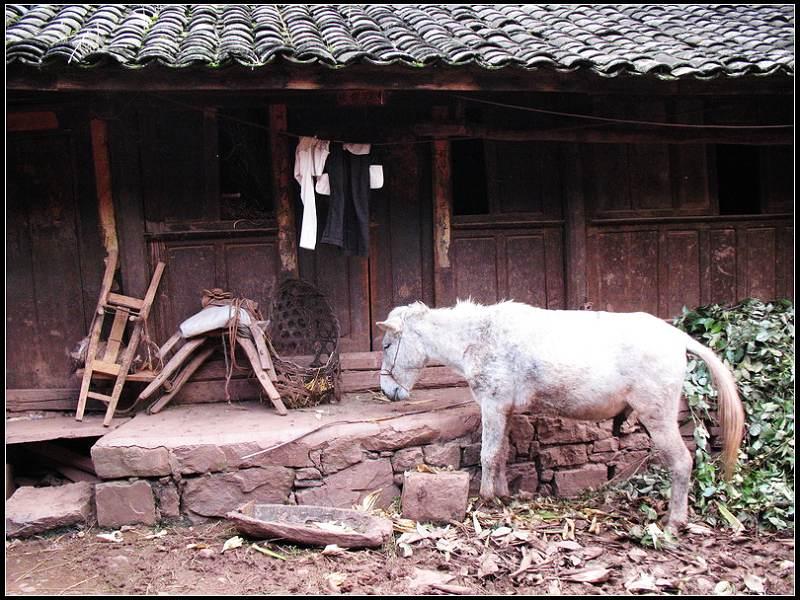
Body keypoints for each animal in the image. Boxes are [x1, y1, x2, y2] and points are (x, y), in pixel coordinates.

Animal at [376, 300, 744, 528]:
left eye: (386, 345)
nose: (387, 391)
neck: (479, 338)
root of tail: (678, 337)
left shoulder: (492, 405)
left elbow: (488, 454)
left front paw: (485, 498)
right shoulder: (505, 409)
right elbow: (502, 454)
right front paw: (503, 495)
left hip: (658, 416)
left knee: (681, 462)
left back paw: (675, 520)